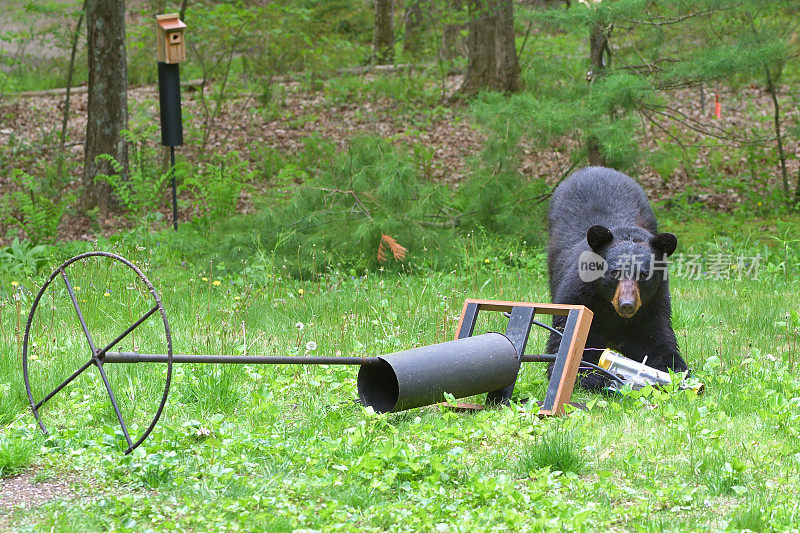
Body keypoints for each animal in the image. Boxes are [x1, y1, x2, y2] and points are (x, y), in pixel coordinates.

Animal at [548, 167, 692, 390]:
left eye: (644, 274)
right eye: (615, 272)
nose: (627, 304)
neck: (612, 313)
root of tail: (594, 168)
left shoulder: (652, 306)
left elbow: (659, 342)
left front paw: (674, 372)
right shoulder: (579, 297)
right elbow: (567, 348)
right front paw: (602, 377)